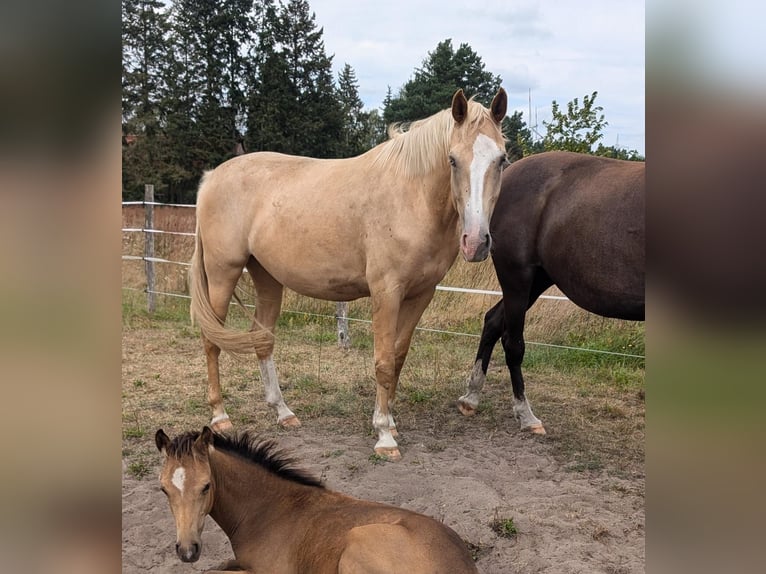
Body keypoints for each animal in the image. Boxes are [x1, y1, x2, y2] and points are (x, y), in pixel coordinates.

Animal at [189, 88, 508, 460]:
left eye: (501, 159)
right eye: (453, 160)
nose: (476, 242)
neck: (411, 197)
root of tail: (211, 178)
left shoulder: (420, 294)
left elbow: (398, 357)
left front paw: (389, 421)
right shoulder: (387, 292)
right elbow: (383, 361)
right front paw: (384, 436)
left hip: (267, 277)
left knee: (263, 339)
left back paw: (283, 412)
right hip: (222, 273)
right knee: (211, 341)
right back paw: (220, 416)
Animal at [457, 151, 645, 434]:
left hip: (538, 279)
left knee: (492, 321)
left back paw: (471, 398)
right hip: (517, 276)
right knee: (512, 343)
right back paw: (526, 416)